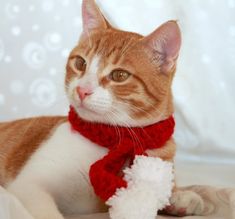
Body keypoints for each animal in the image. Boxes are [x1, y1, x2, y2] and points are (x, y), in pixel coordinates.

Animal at [0, 0, 204, 219]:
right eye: (80, 63)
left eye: (119, 75)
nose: (82, 90)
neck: (113, 139)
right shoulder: (29, 186)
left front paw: (179, 196)